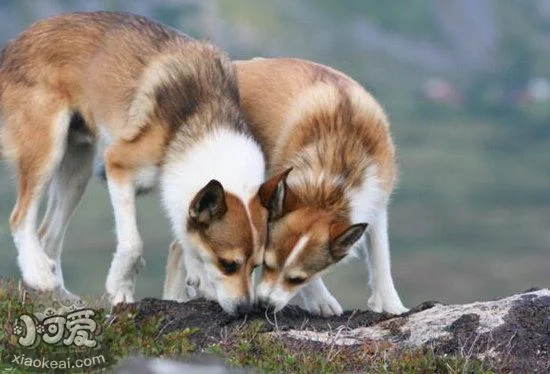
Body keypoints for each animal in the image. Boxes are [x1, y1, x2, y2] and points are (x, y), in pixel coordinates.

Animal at [0, 11, 278, 314]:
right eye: (228, 264)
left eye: (256, 266)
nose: (246, 310)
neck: (200, 121)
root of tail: (12, 45)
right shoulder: (117, 167)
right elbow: (133, 243)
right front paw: (121, 288)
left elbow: (185, 235)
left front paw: (195, 280)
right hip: (47, 148)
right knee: (20, 218)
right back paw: (38, 273)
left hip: (77, 168)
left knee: (48, 236)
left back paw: (59, 297)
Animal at [166, 57, 412, 316]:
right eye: (267, 264)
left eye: (296, 279)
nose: (263, 304)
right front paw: (320, 299)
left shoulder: (376, 205)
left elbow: (380, 258)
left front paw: (391, 304)